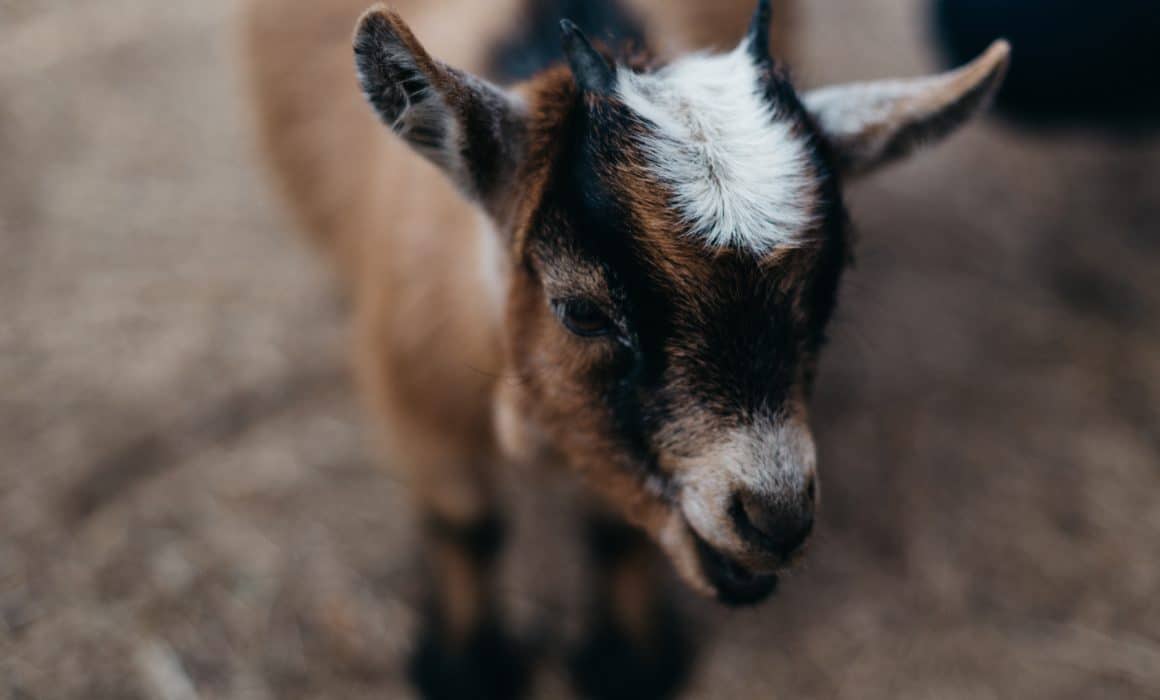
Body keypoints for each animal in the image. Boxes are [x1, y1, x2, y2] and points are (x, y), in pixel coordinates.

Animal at [243, 0, 1009, 696]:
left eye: (831, 285)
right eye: (580, 311)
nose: (777, 519)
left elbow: (613, 532)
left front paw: (624, 664)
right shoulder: (413, 395)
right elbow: (467, 524)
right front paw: (470, 671)